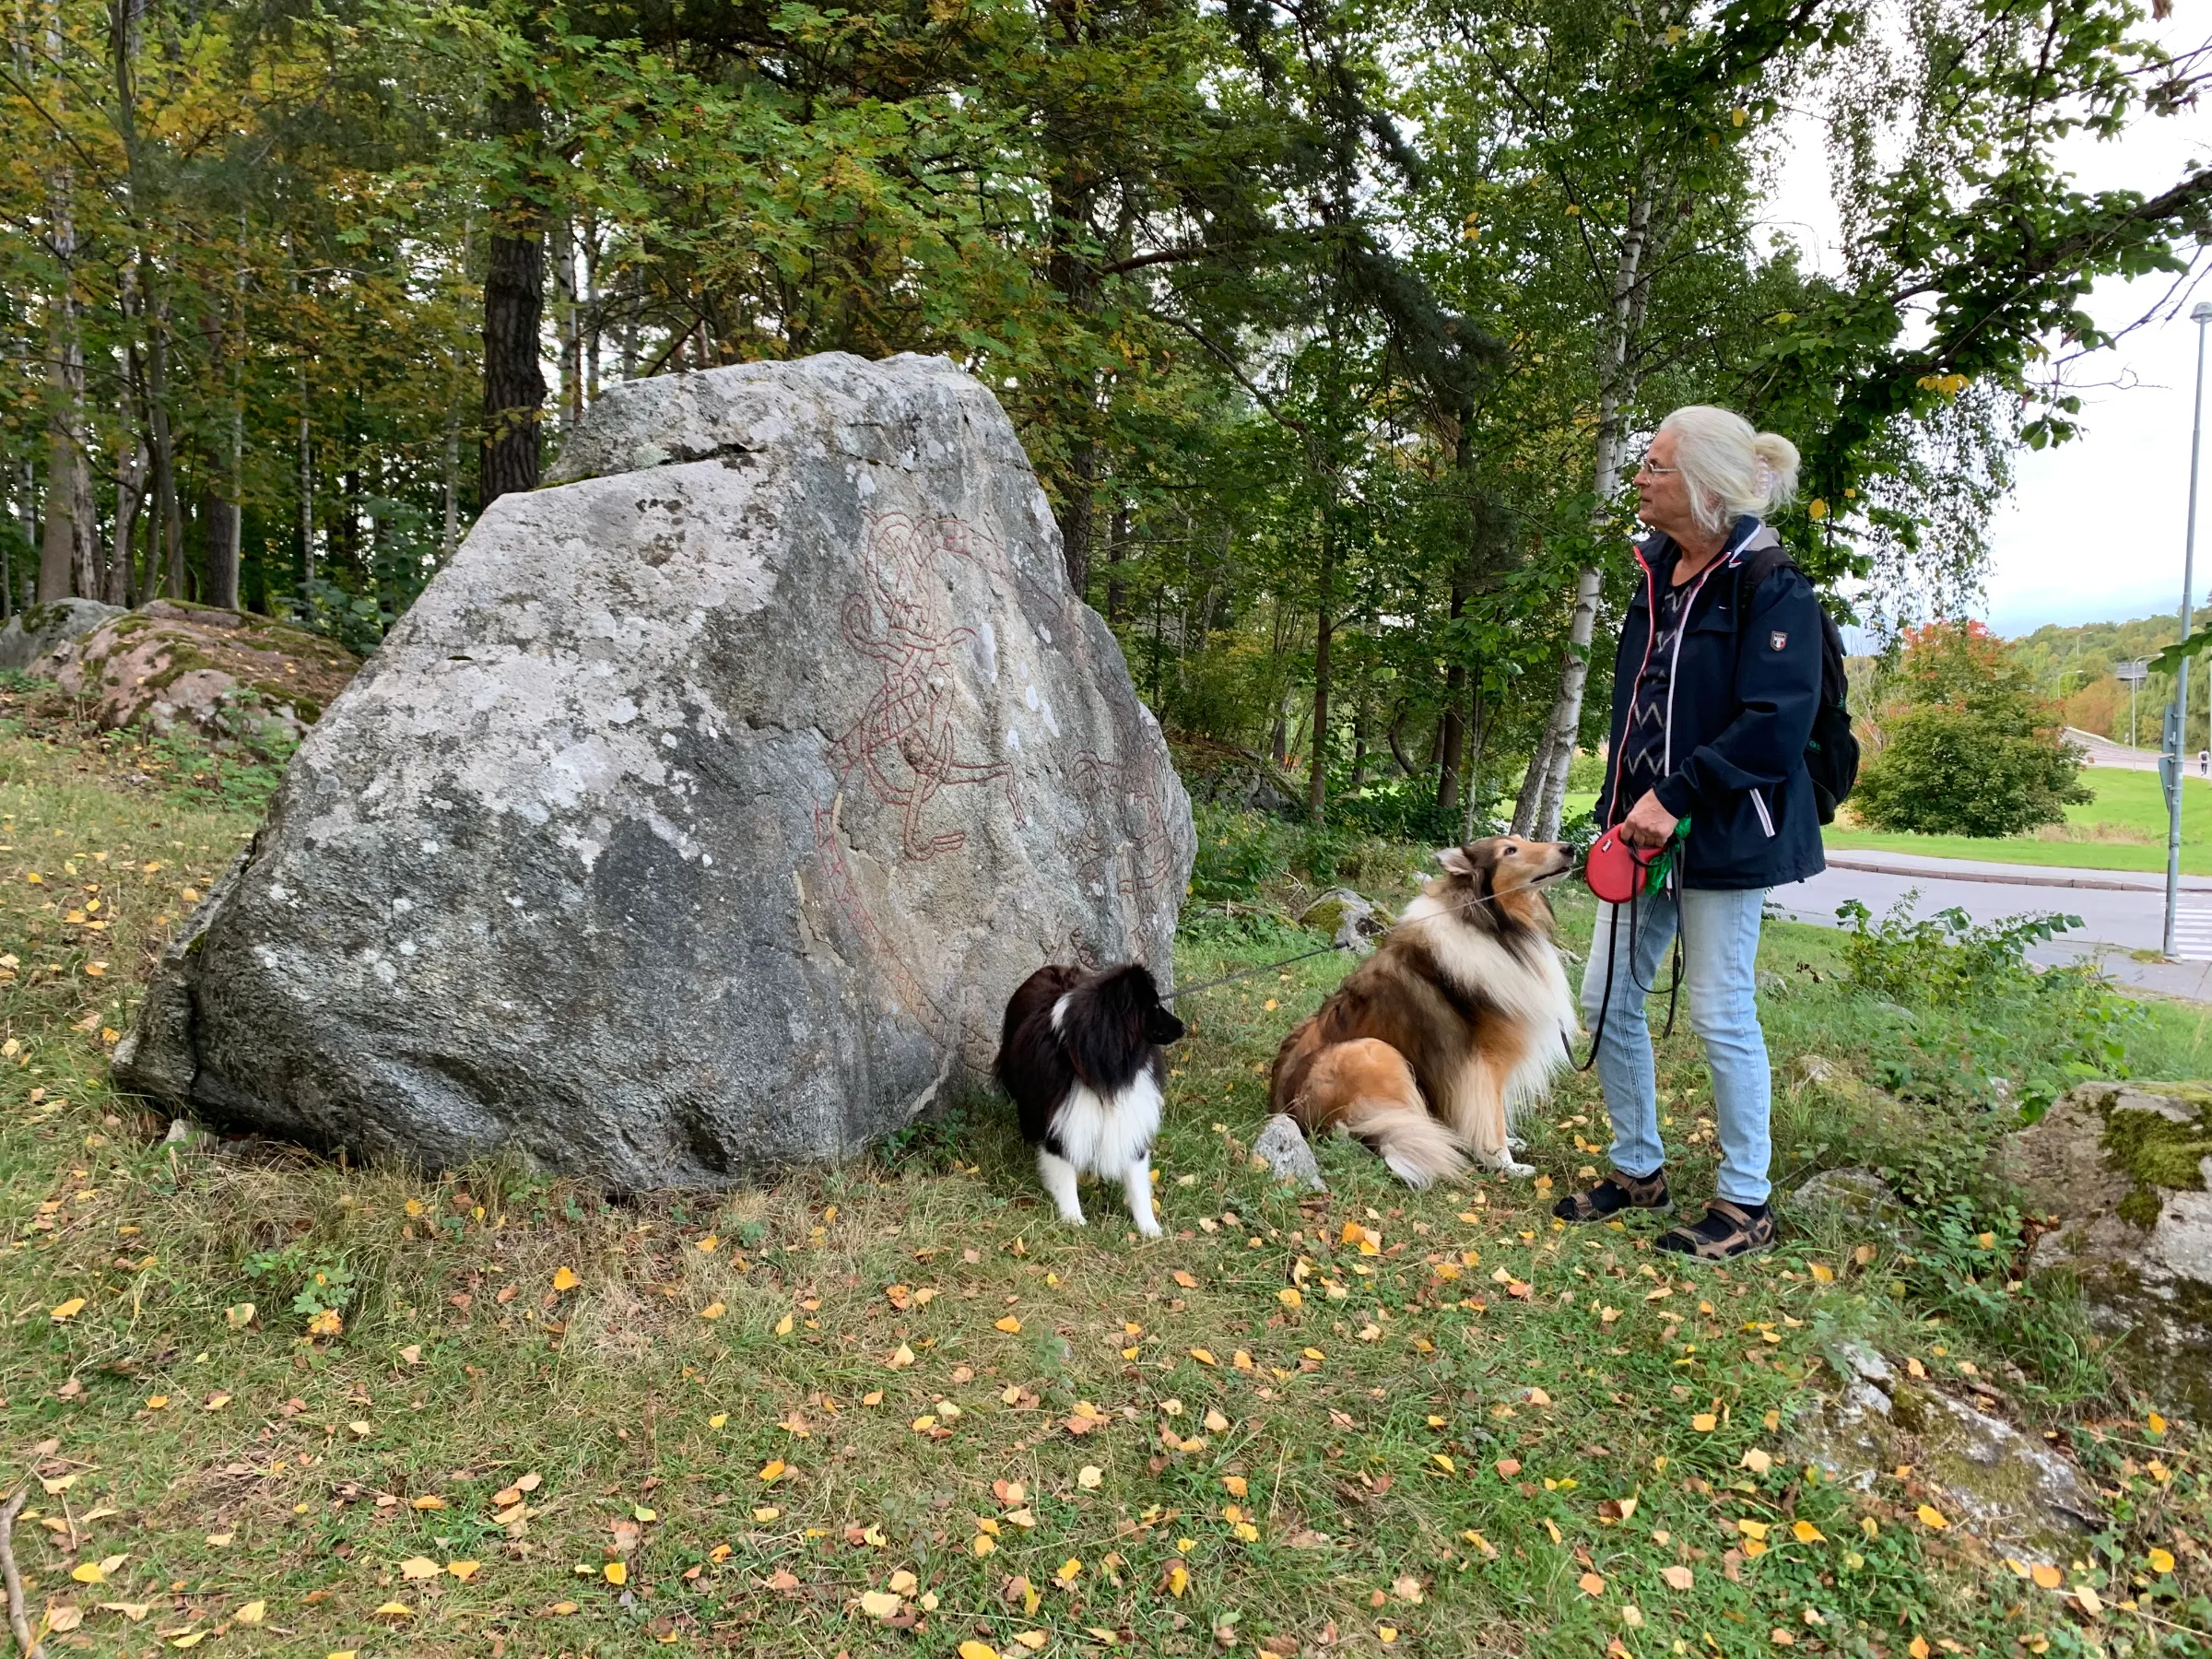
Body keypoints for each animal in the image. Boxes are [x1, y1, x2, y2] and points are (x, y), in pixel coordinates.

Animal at [995, 959, 1185, 1239]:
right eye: (1154, 1006)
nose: (1183, 1027)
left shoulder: (1130, 1117)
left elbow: (1138, 1182)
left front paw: (1150, 1229)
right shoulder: (1061, 1122)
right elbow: (1064, 1176)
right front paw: (1074, 1220)